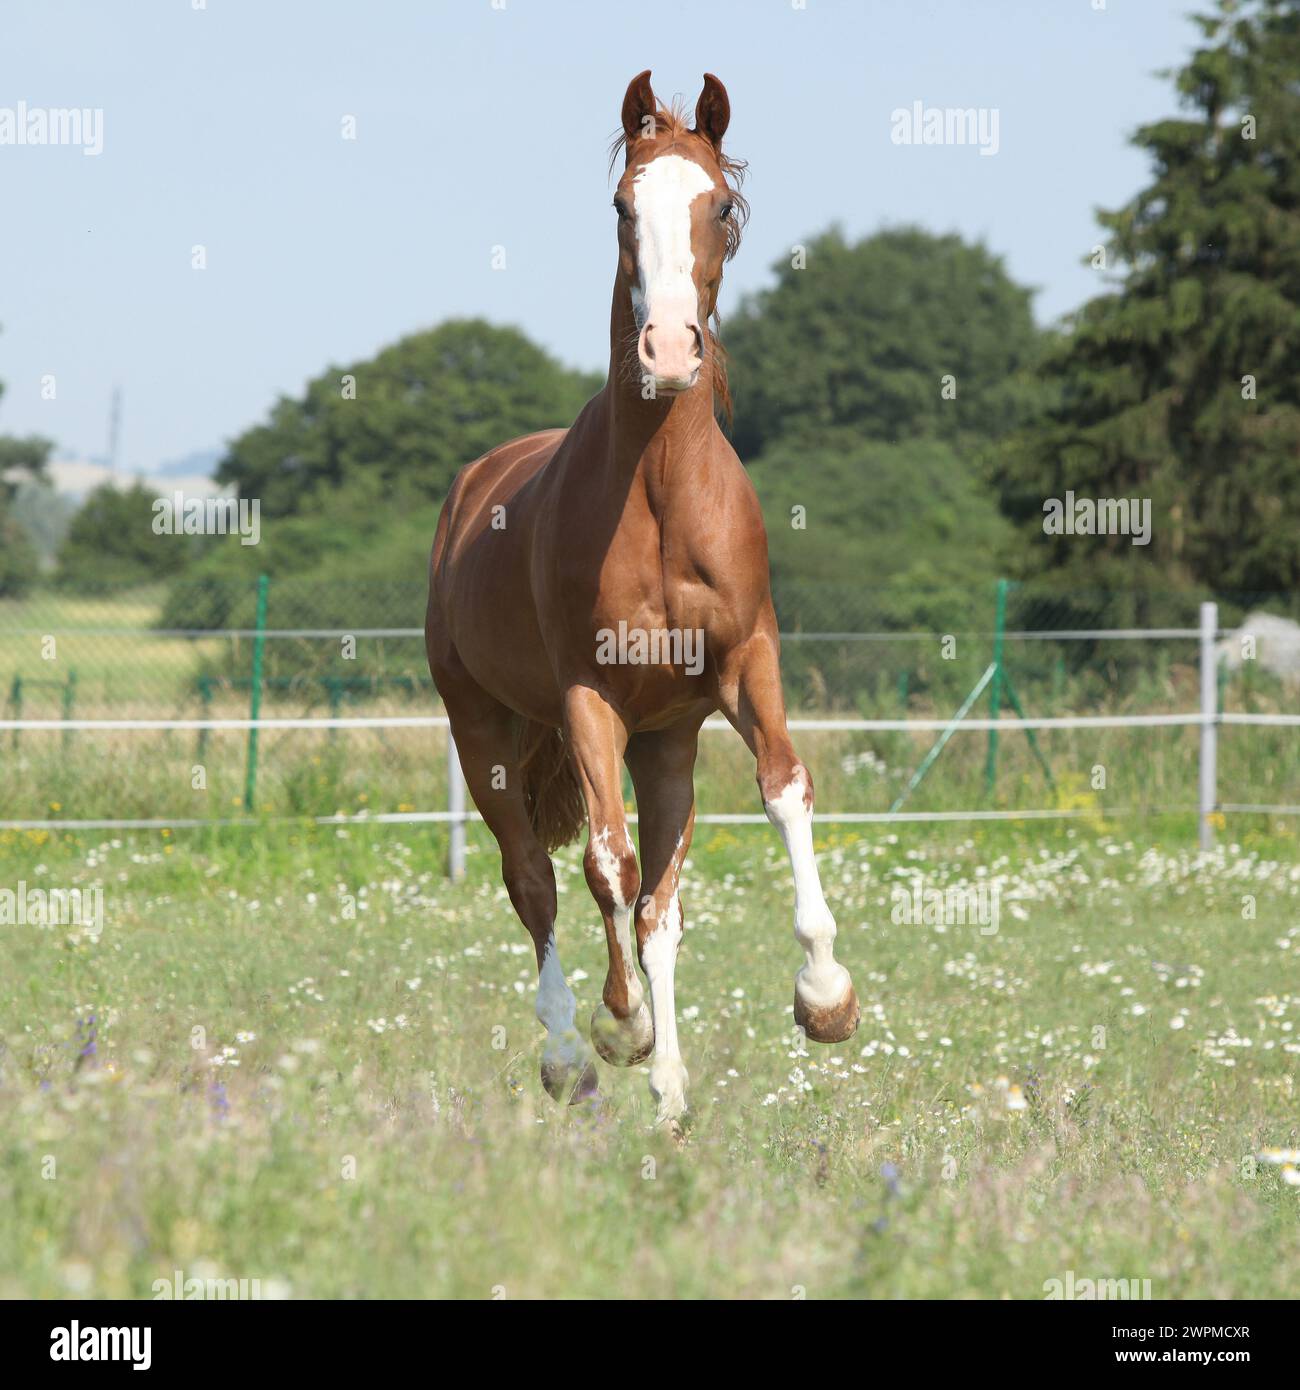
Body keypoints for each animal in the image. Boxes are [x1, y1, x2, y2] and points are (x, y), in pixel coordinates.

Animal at [422, 70, 856, 1123]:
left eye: (723, 207)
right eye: (622, 206)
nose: (666, 350)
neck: (660, 496)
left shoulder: (744, 668)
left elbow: (783, 792)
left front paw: (826, 995)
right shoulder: (589, 698)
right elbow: (602, 866)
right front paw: (621, 1025)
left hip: (667, 744)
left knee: (661, 904)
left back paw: (669, 1091)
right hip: (482, 726)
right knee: (535, 880)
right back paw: (573, 1055)